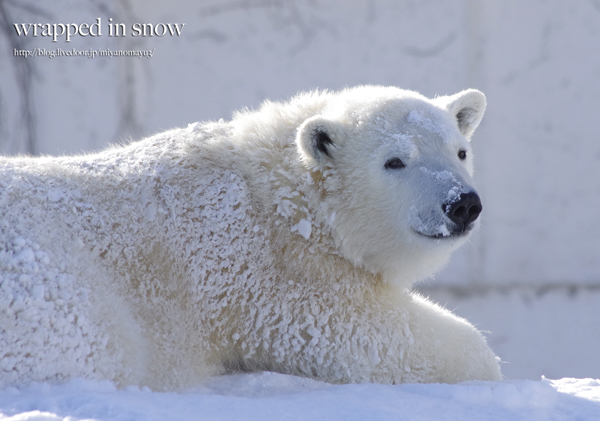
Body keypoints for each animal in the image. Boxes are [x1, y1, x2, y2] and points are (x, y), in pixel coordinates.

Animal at [0, 86, 502, 390]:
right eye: (394, 161)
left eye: (460, 151)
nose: (462, 204)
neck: (284, 195)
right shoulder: (266, 275)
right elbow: (359, 333)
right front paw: (483, 363)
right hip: (53, 284)